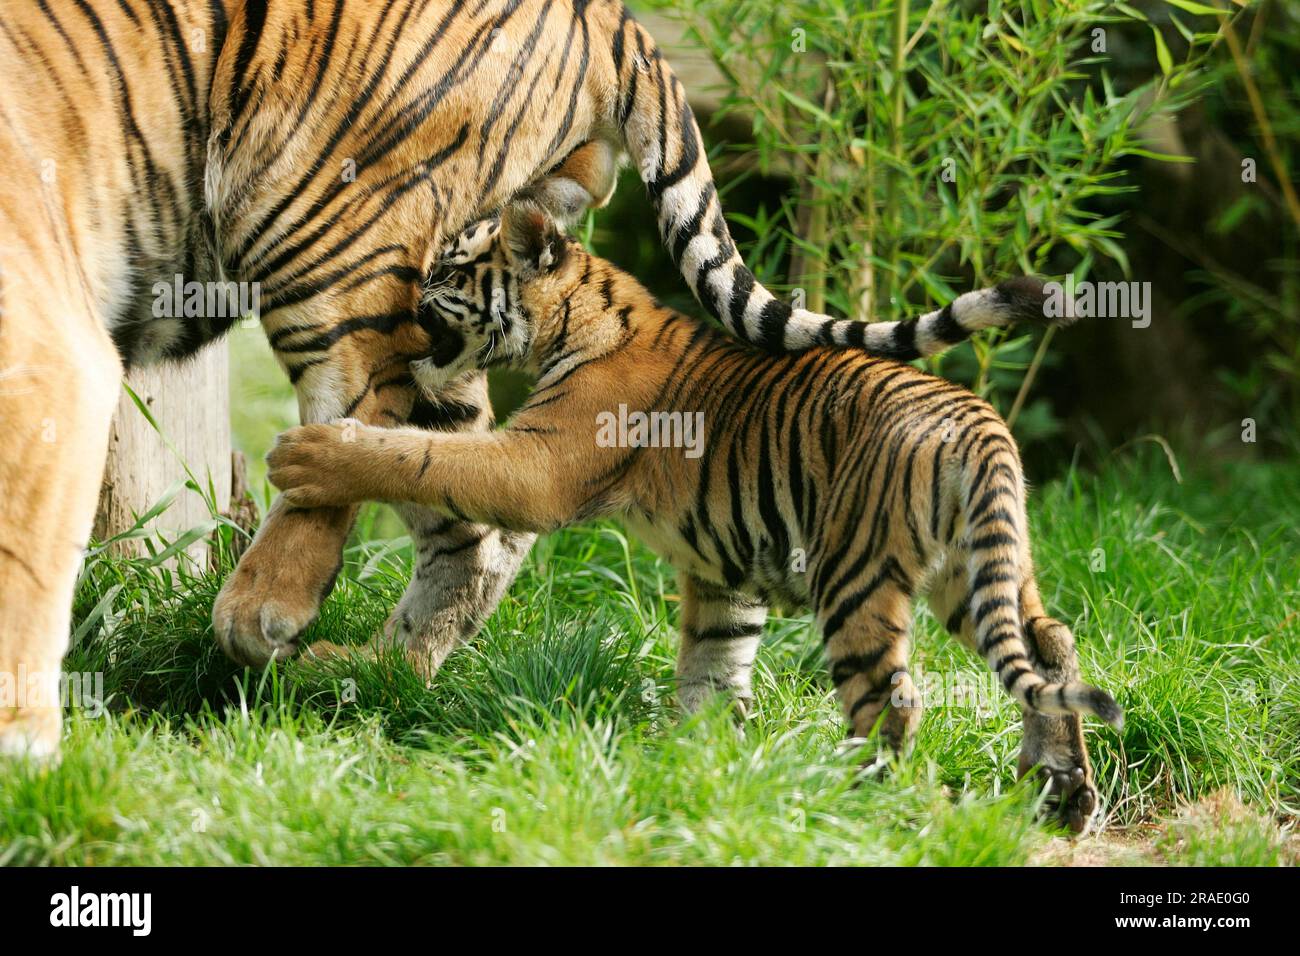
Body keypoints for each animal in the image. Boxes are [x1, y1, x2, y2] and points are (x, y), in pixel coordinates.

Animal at [0, 0, 1054, 759]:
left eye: (447, 283)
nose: (424, 309)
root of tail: (609, 12)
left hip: (321, 227)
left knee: (401, 446)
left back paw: (271, 606)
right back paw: (369, 672)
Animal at [265, 204, 1123, 833]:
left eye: (445, 273)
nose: (403, 306)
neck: (571, 318)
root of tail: (976, 421)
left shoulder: (536, 464)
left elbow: (422, 456)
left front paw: (309, 456)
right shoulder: (724, 569)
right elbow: (712, 667)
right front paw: (695, 768)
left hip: (857, 571)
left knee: (893, 698)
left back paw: (848, 802)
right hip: (971, 569)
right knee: (1047, 639)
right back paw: (1062, 790)